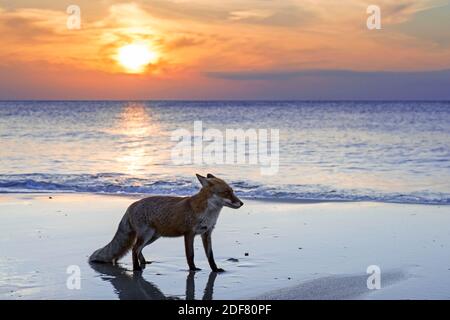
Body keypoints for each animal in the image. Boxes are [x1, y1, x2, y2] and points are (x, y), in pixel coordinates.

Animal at [89, 174, 243, 272]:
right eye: (226, 193)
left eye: (232, 191)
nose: (241, 203)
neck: (207, 213)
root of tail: (131, 205)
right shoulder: (189, 234)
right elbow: (190, 255)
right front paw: (192, 269)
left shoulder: (206, 233)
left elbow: (210, 256)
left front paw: (215, 269)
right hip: (147, 235)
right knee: (134, 249)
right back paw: (136, 268)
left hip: (152, 237)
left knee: (138, 249)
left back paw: (143, 263)